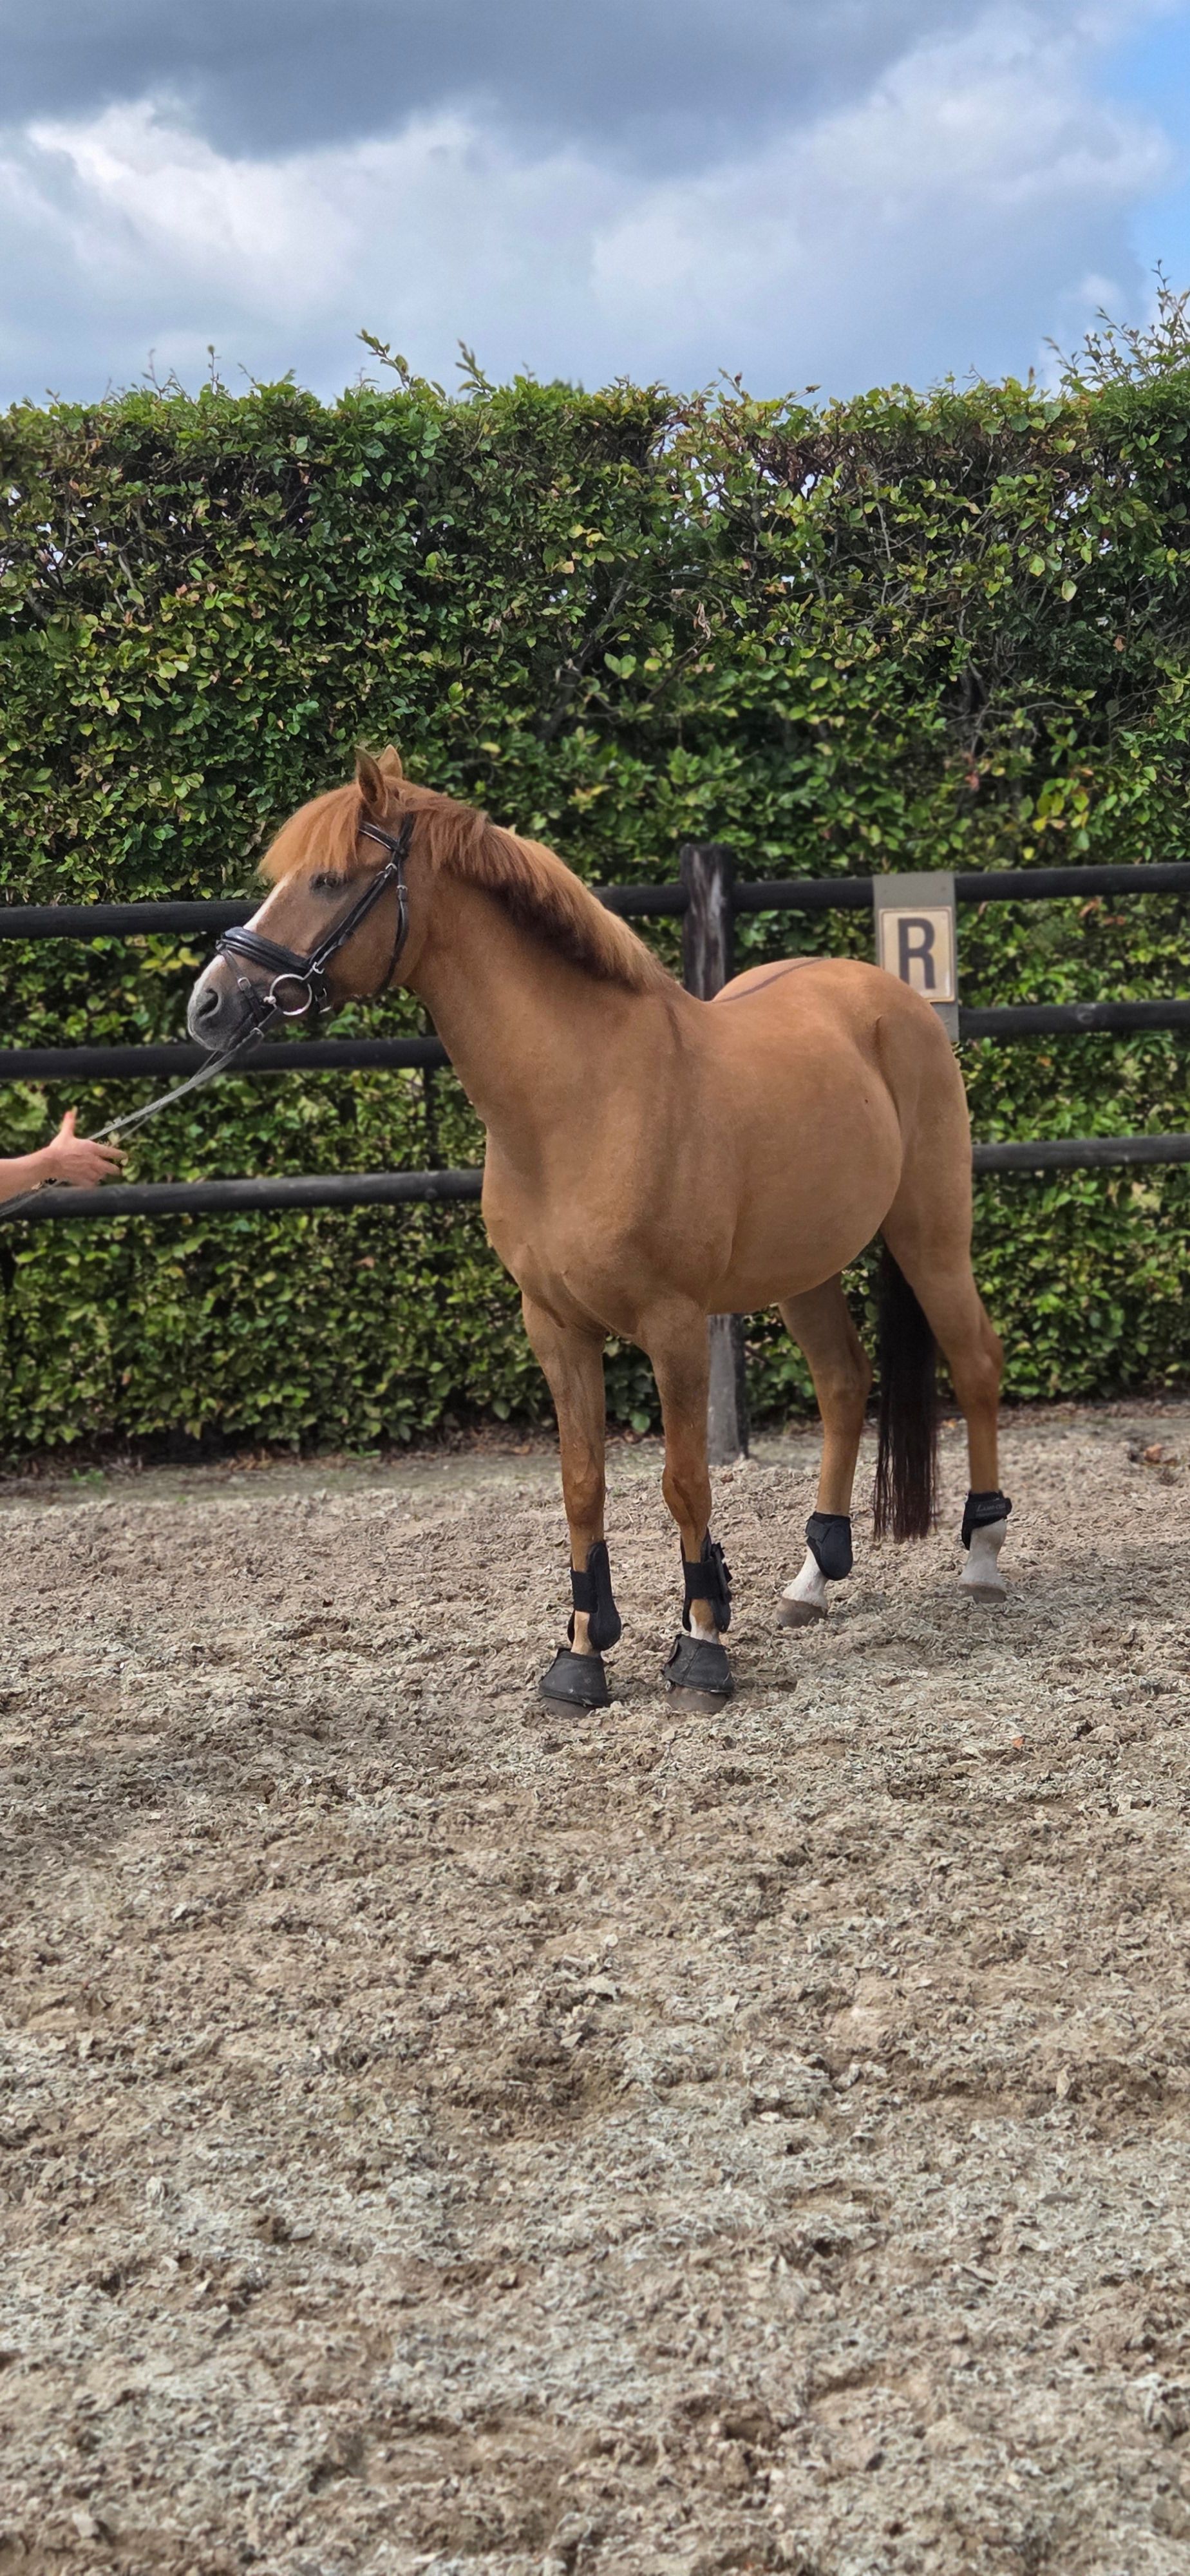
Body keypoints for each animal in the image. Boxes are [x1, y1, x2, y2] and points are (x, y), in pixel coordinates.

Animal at [187, 748, 1011, 1714]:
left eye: (325, 879)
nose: (209, 1005)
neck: (581, 1098)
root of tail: (892, 997)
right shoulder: (555, 1326)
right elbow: (582, 1486)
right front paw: (581, 1657)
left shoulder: (675, 1326)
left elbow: (685, 1483)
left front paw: (701, 1650)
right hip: (803, 1267)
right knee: (845, 1384)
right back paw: (812, 1578)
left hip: (931, 1238)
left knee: (975, 1363)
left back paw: (983, 1558)